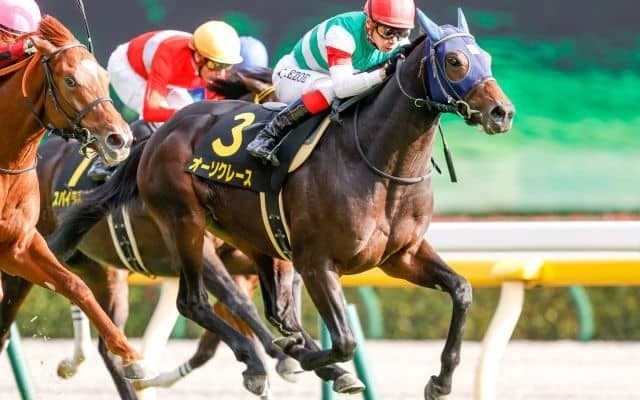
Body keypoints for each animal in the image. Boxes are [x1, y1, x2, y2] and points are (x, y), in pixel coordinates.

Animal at [0, 14, 156, 381]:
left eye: (105, 78)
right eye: (70, 80)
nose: (120, 139)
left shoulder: (19, 245)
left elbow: (75, 284)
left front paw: (130, 355)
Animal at [48, 9, 515, 399]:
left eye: (487, 58)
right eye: (454, 61)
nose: (502, 112)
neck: (378, 163)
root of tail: (162, 134)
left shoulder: (401, 256)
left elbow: (462, 290)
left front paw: (441, 380)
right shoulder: (316, 261)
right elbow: (341, 339)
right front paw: (303, 361)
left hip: (246, 240)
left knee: (264, 312)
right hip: (184, 224)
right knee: (192, 303)